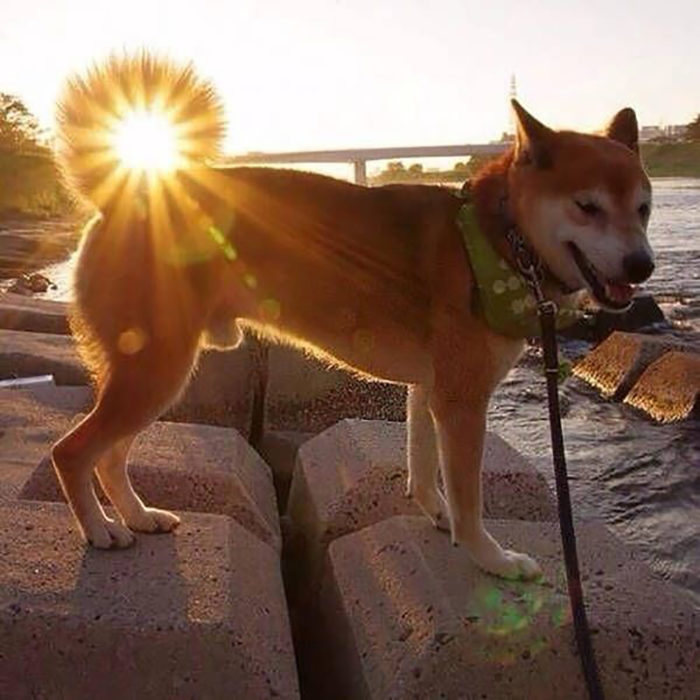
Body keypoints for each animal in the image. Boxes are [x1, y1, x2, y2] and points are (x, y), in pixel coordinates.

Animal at [52, 56, 652, 580]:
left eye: (643, 208)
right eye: (588, 206)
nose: (642, 264)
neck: (499, 241)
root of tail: (123, 197)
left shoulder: (429, 390)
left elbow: (423, 468)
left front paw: (438, 516)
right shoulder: (461, 400)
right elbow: (469, 497)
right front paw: (492, 559)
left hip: (157, 375)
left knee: (109, 457)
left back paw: (137, 517)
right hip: (158, 371)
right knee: (73, 452)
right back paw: (101, 531)